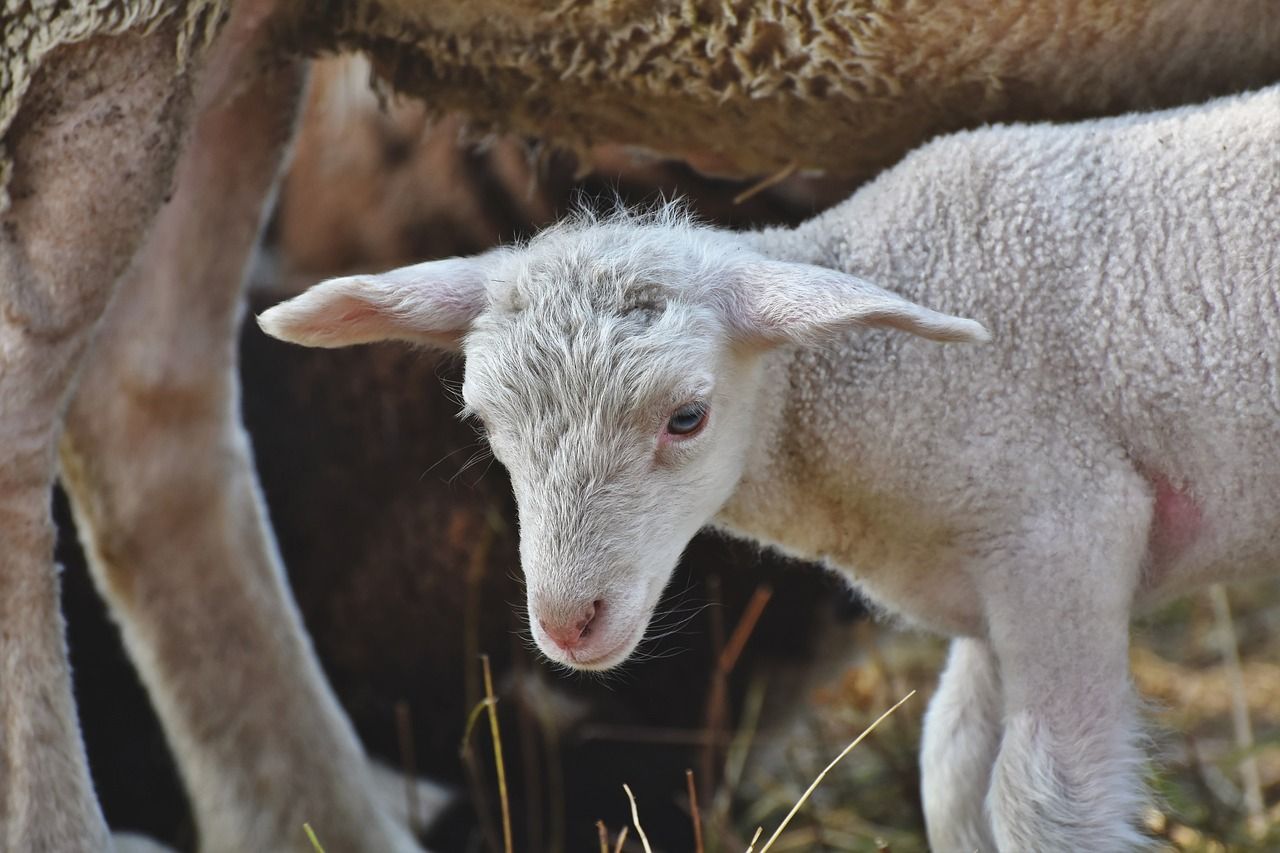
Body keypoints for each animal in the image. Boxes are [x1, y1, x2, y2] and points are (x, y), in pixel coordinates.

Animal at [4, 0, 1280, 849]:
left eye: (686, 416)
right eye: (482, 420)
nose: (565, 624)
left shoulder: (1056, 541)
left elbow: (1018, 794)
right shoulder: (1017, 571)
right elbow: (958, 777)